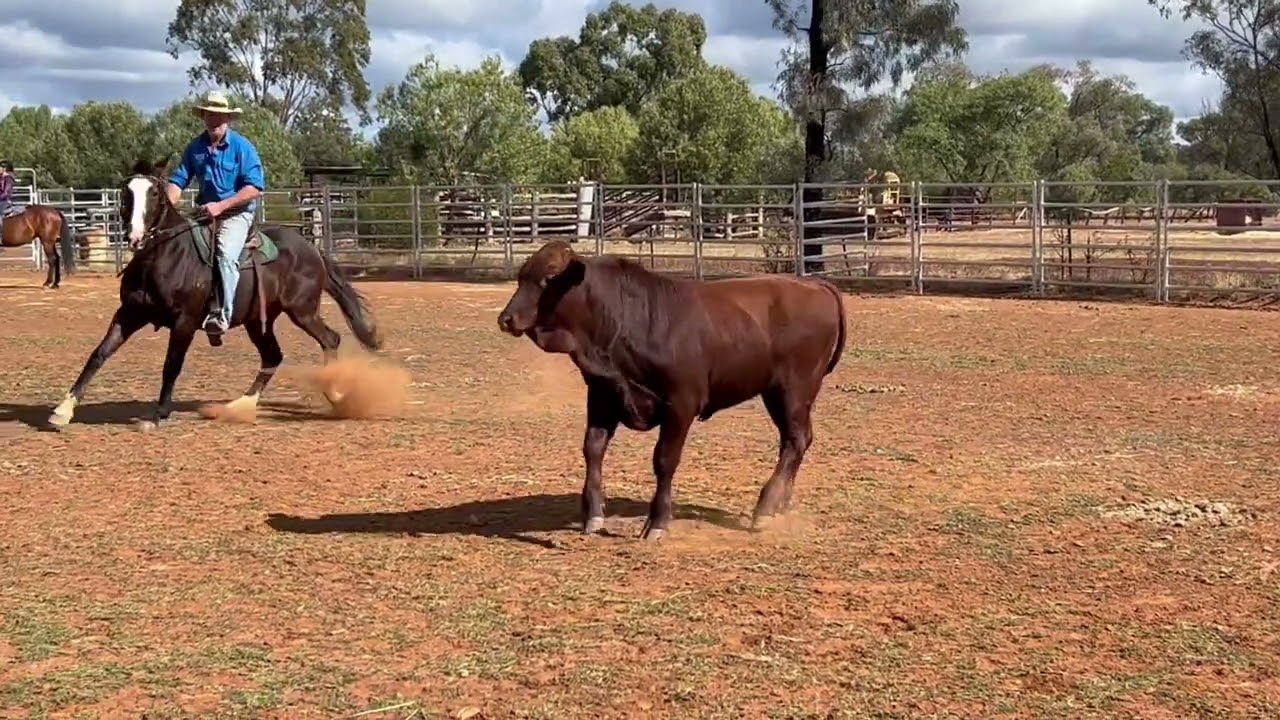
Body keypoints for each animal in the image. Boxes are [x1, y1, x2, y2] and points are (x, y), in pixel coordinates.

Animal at [46, 157, 384, 429]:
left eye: (153, 192)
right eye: (126, 191)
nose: (134, 235)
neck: (163, 256)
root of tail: (312, 249)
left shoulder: (184, 322)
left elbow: (171, 365)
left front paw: (158, 414)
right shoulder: (129, 313)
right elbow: (99, 354)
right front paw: (63, 410)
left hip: (302, 310)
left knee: (330, 339)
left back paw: (336, 392)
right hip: (259, 320)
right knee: (273, 356)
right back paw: (239, 406)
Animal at [497, 240, 847, 540]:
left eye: (547, 279)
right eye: (522, 277)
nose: (506, 318)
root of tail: (814, 285)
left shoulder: (681, 403)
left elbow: (664, 459)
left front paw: (657, 522)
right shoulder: (603, 394)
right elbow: (593, 448)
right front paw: (593, 515)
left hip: (794, 389)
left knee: (796, 440)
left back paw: (765, 507)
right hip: (778, 393)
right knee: (795, 441)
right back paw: (780, 504)